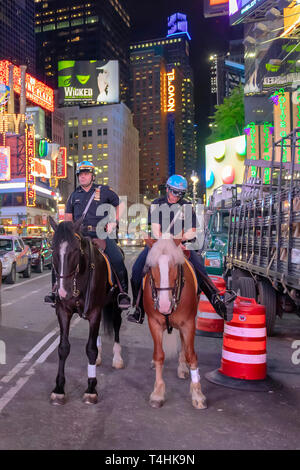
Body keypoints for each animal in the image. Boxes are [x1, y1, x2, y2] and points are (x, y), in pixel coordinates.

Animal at [49, 217, 124, 404]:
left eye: (76, 250)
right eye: (52, 249)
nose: (63, 291)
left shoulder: (95, 312)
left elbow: (90, 349)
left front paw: (91, 388)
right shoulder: (63, 311)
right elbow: (63, 348)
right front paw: (59, 388)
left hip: (115, 307)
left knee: (117, 327)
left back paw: (117, 358)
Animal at [143, 239, 206, 408]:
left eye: (176, 265)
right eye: (151, 266)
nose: (164, 305)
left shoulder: (188, 324)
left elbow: (192, 355)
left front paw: (197, 394)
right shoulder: (154, 323)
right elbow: (159, 355)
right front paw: (158, 393)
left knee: (184, 343)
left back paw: (182, 367)